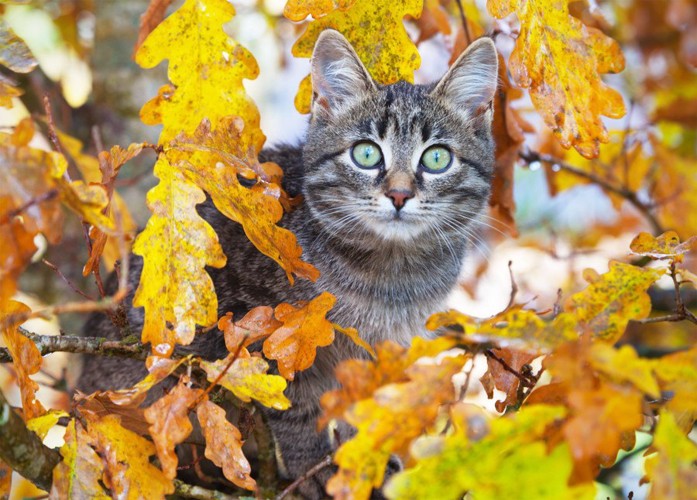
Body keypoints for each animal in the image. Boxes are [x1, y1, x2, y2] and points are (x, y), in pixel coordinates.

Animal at [79, 30, 498, 496]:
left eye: (437, 158)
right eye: (367, 155)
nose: (400, 194)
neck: (389, 276)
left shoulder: (374, 353)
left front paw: (355, 461)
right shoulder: (254, 323)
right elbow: (290, 401)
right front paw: (311, 464)